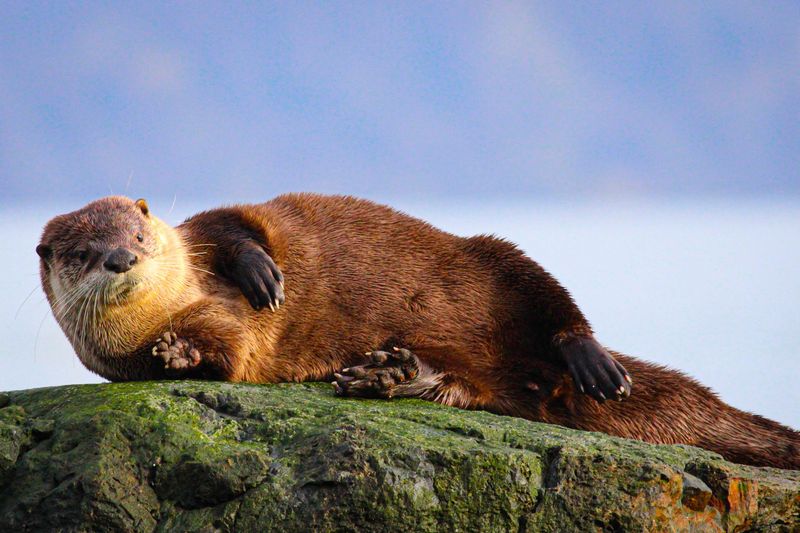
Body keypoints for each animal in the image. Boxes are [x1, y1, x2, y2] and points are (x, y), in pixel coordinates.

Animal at [37, 194, 799, 469]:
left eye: (138, 233)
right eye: (85, 252)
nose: (123, 258)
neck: (183, 296)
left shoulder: (205, 230)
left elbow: (242, 228)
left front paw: (263, 278)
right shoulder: (138, 358)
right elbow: (221, 355)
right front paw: (176, 351)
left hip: (498, 259)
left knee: (557, 307)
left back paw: (598, 366)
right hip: (494, 379)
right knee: (467, 385)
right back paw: (390, 373)